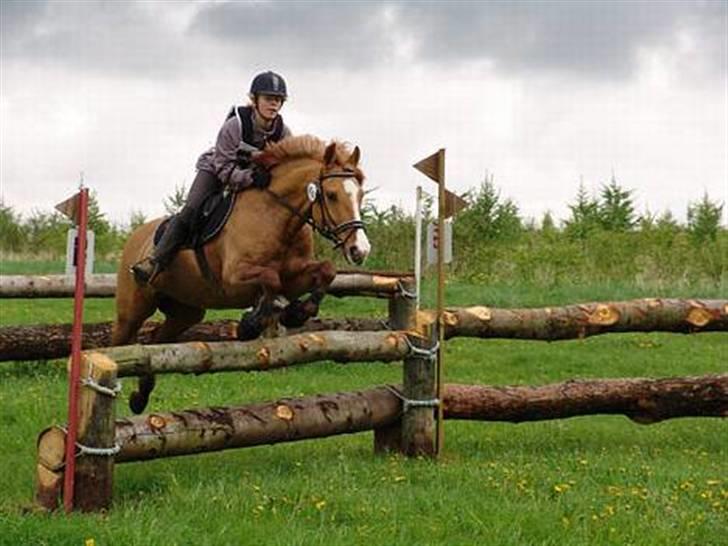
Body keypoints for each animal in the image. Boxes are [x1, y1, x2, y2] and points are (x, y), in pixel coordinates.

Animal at [112, 135, 370, 412]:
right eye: (331, 195)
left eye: (361, 195)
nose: (360, 250)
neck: (277, 216)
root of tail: (136, 235)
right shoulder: (233, 278)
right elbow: (270, 279)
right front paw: (250, 324)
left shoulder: (294, 276)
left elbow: (325, 271)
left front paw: (295, 313)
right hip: (133, 308)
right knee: (120, 343)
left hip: (186, 311)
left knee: (156, 342)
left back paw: (140, 397)